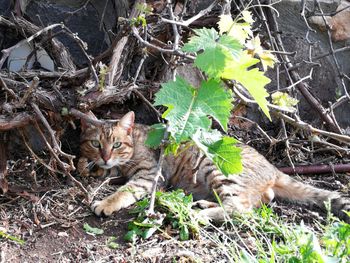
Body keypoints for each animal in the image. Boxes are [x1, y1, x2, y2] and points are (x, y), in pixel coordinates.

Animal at [77, 111, 350, 223]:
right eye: (96, 143)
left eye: (116, 144)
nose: (105, 156)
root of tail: (274, 168)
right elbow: (100, 169)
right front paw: (87, 165)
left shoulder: (150, 174)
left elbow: (124, 191)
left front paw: (106, 203)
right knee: (255, 201)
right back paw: (202, 205)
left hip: (214, 166)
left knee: (240, 208)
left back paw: (200, 214)